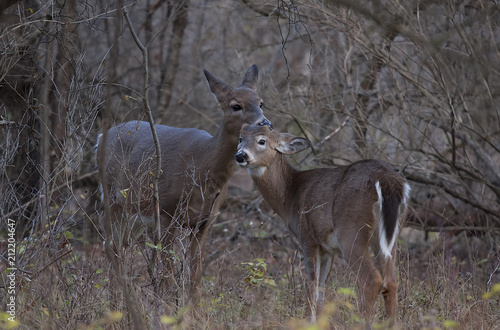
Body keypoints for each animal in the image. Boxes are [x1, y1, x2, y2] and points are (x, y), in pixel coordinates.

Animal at [95, 64, 272, 300]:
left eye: (261, 102)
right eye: (236, 105)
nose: (265, 124)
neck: (202, 167)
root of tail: (99, 139)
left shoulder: (205, 221)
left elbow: (194, 274)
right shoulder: (166, 214)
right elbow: (169, 274)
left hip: (135, 215)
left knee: (121, 246)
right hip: (112, 197)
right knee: (111, 245)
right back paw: (117, 302)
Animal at [234, 125, 410, 326]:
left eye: (262, 140)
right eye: (240, 138)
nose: (240, 156)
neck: (289, 195)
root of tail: (386, 180)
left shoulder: (307, 237)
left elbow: (311, 283)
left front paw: (308, 322)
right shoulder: (327, 248)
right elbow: (321, 289)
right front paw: (319, 321)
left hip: (351, 231)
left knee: (372, 279)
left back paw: (361, 322)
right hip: (389, 234)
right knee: (392, 281)